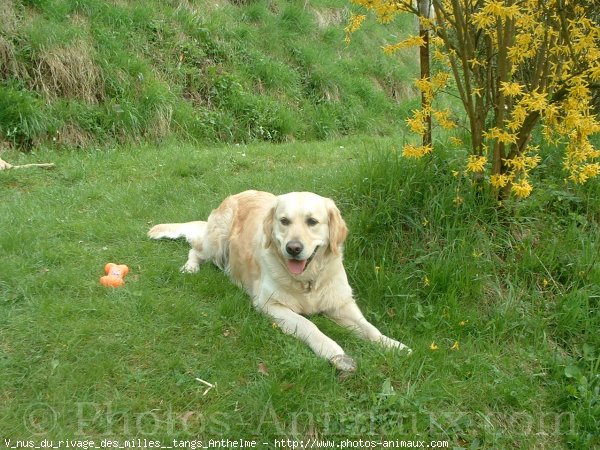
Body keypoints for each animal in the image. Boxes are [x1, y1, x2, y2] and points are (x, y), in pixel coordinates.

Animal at [148, 192, 410, 370]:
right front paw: (331, 350)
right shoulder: (270, 305)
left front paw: (394, 345)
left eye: (312, 222)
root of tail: (235, 194)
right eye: (284, 221)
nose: (293, 248)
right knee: (196, 248)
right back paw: (190, 267)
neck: (307, 281)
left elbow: (369, 328)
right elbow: (309, 325)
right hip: (217, 242)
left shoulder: (341, 303)